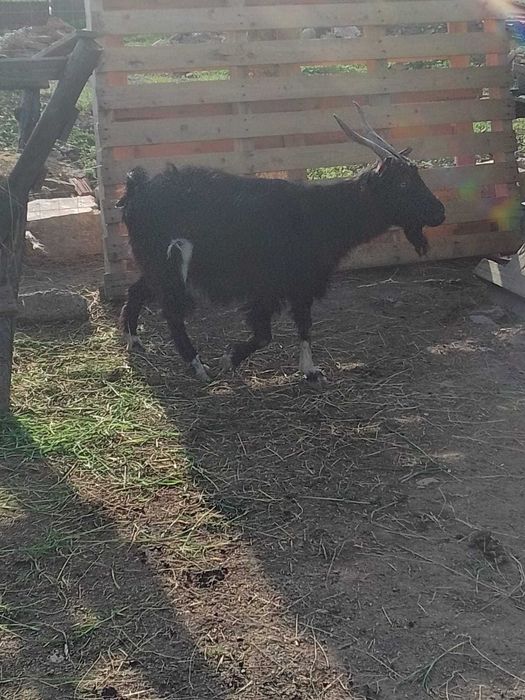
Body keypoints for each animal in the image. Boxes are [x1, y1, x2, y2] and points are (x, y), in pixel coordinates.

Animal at [117, 104, 445, 383]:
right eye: (402, 182)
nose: (440, 212)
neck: (320, 214)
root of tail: (137, 188)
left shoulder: (302, 285)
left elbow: (305, 326)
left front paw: (310, 370)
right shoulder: (268, 287)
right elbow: (265, 335)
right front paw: (229, 360)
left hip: (156, 265)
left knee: (136, 292)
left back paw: (135, 342)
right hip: (169, 265)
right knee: (172, 313)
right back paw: (198, 366)